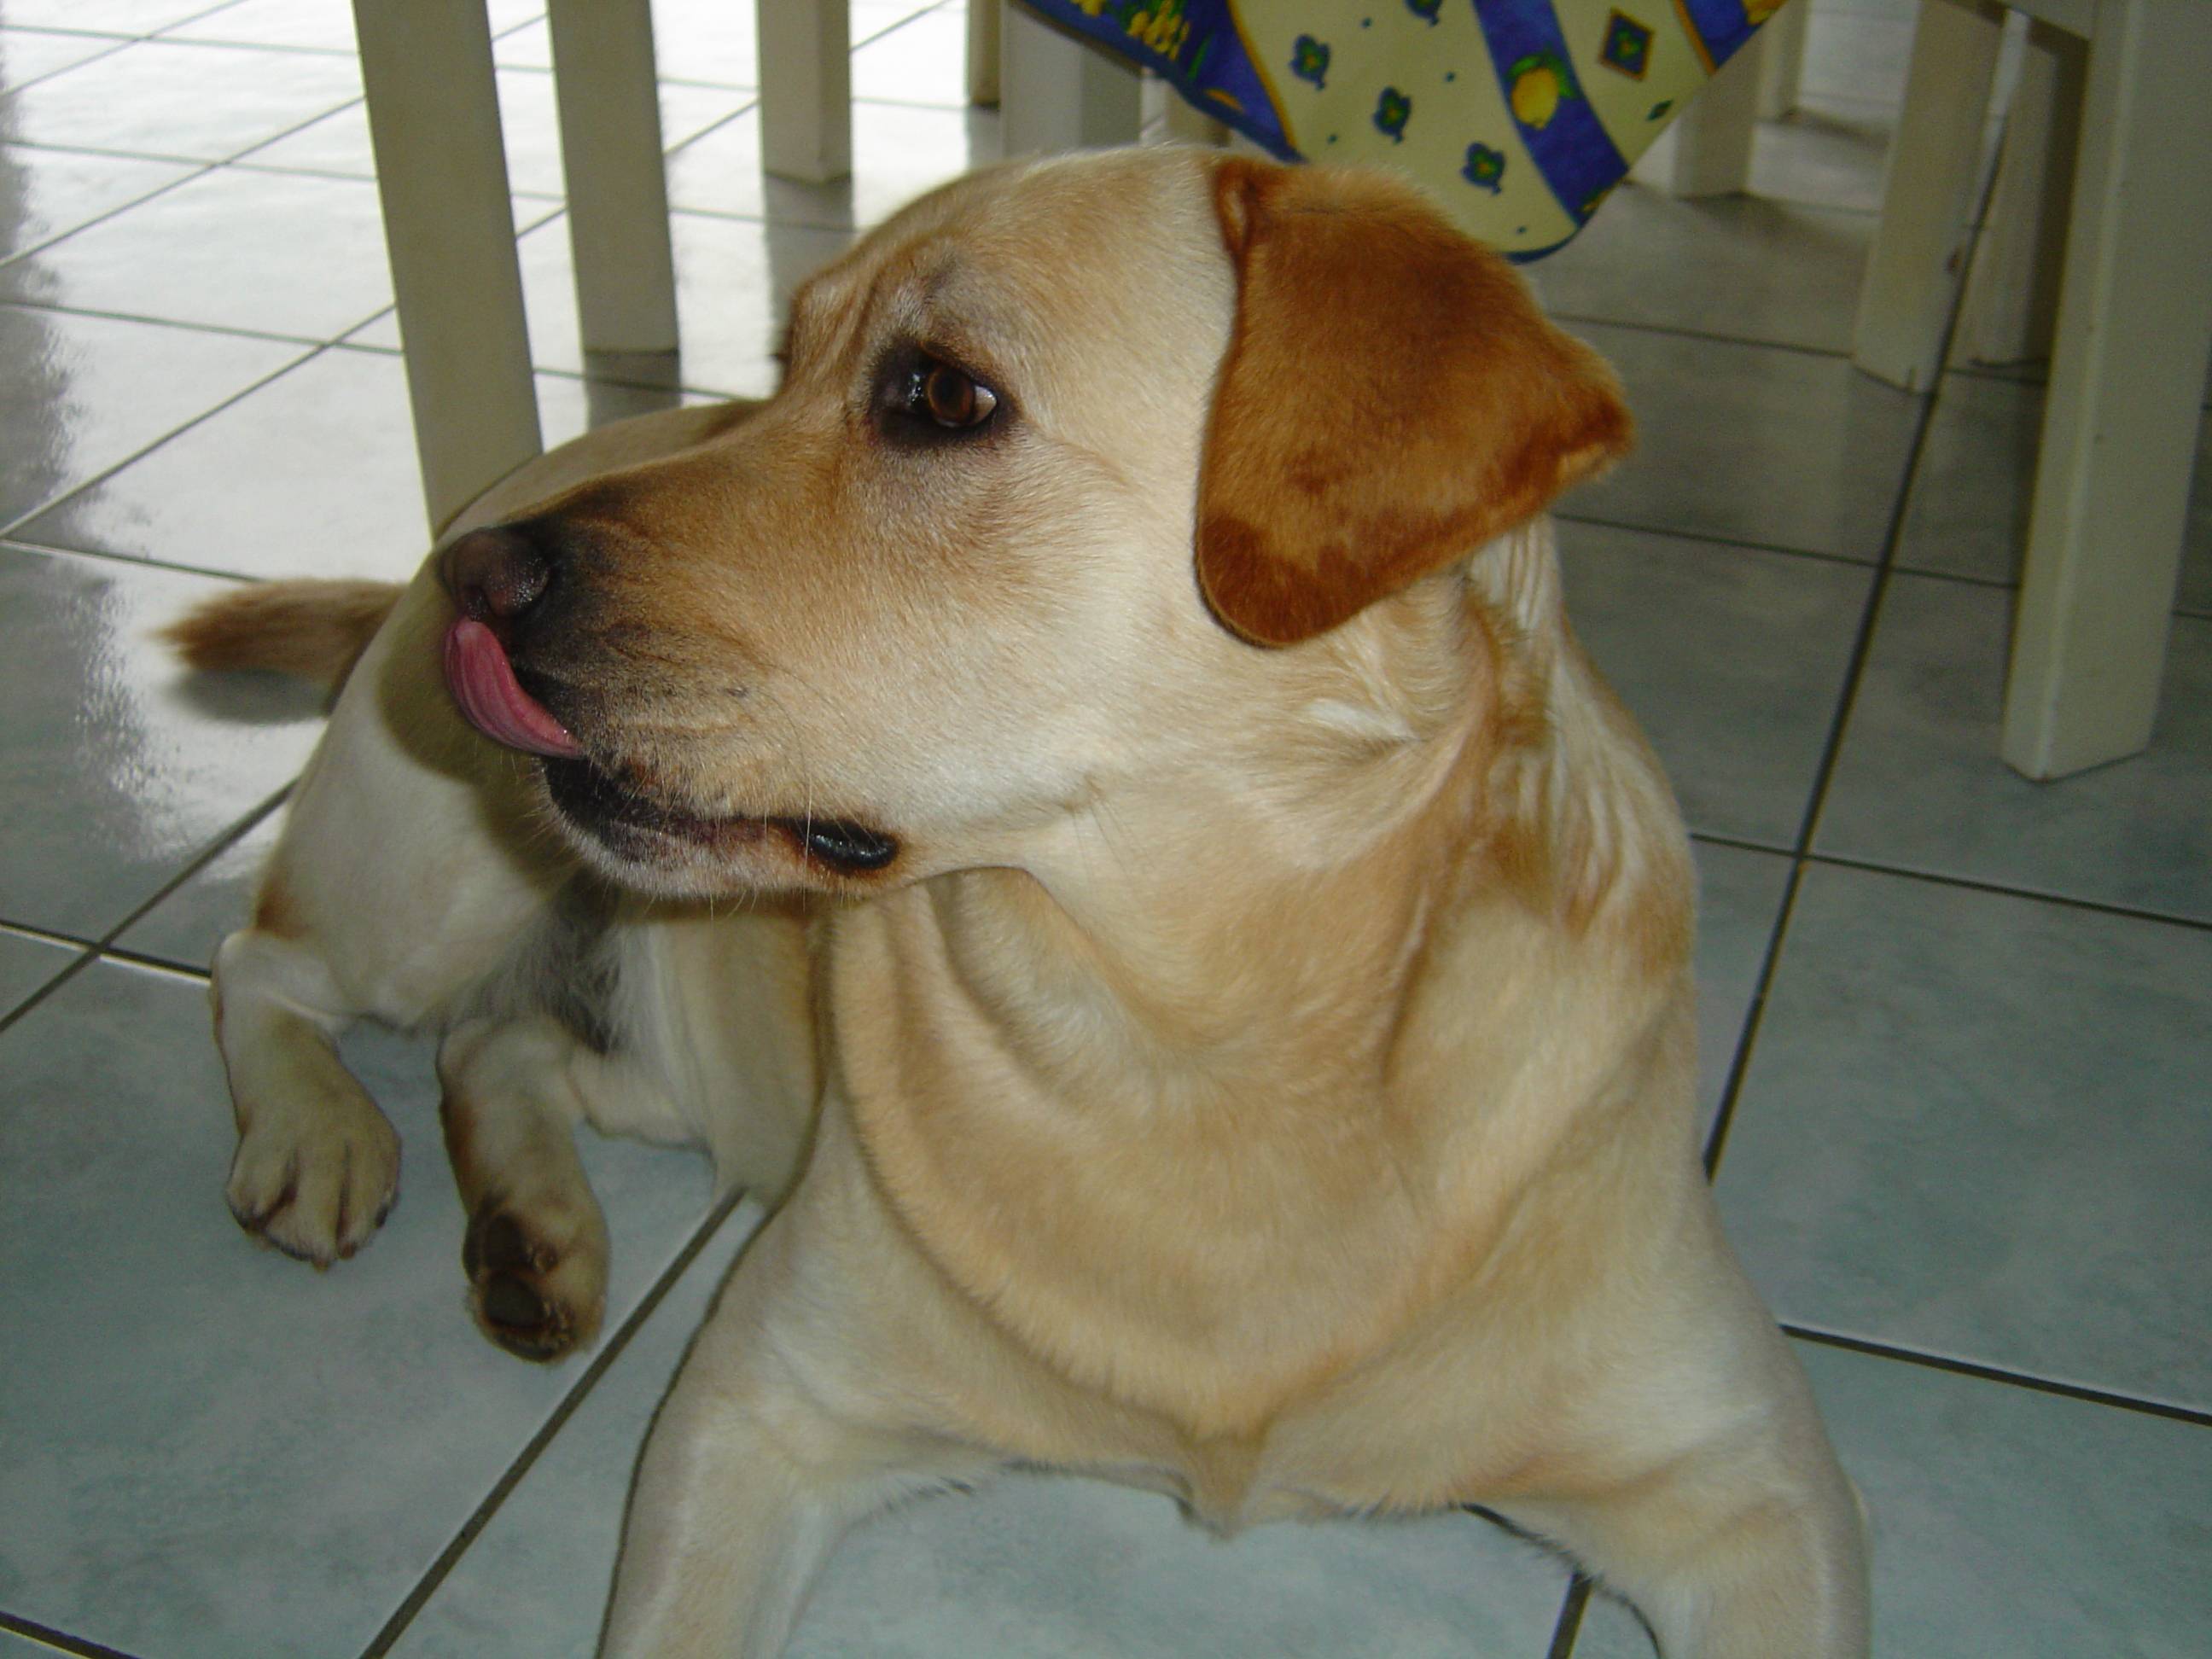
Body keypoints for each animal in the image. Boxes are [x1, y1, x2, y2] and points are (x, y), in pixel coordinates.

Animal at [167, 152, 1866, 1659]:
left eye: (940, 397)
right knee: (264, 961)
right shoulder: (757, 1407)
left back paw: (532, 1227)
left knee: (499, 1048)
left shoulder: (1756, 1491)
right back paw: (319, 1137)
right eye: (782, 364)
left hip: (691, 1056)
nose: (476, 578)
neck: (1197, 1040)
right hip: (431, 874)